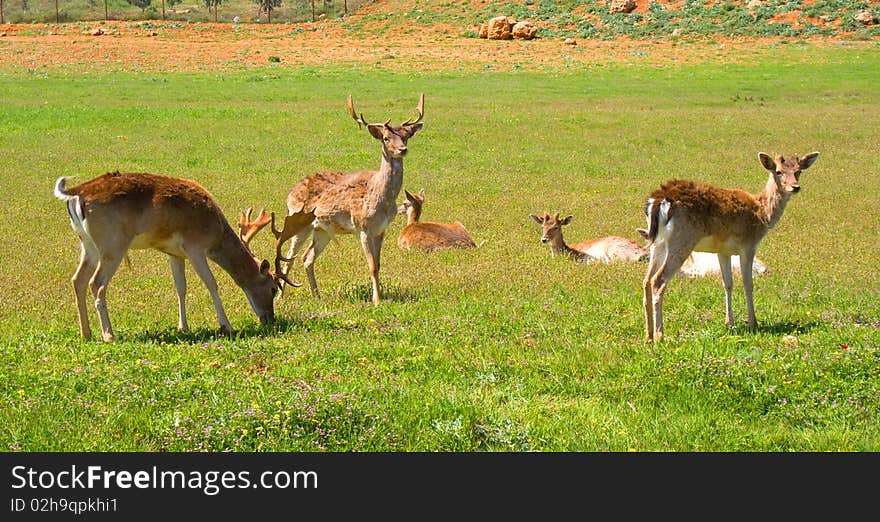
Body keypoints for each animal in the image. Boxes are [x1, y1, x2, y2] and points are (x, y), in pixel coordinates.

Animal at [53, 171, 290, 342]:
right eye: (273, 288)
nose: (270, 319)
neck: (215, 234)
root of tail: (76, 193)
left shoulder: (175, 254)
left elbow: (180, 287)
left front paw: (183, 327)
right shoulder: (195, 247)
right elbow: (212, 283)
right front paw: (227, 326)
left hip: (88, 244)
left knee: (77, 279)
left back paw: (86, 333)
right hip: (113, 243)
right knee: (96, 283)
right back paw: (108, 335)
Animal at [276, 92, 426, 304]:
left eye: (406, 136)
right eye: (386, 138)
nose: (402, 150)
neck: (381, 199)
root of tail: (291, 190)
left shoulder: (381, 230)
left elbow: (378, 264)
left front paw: (379, 296)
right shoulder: (362, 227)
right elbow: (372, 266)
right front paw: (376, 301)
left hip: (321, 230)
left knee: (307, 257)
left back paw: (317, 295)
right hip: (298, 221)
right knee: (290, 257)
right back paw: (280, 298)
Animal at [640, 149, 820, 342]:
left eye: (798, 171)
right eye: (778, 171)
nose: (795, 187)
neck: (763, 214)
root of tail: (659, 199)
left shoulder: (723, 250)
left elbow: (727, 283)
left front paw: (730, 323)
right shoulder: (748, 245)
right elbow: (748, 284)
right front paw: (753, 323)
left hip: (658, 243)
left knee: (646, 280)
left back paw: (648, 336)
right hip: (682, 240)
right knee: (658, 280)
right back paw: (660, 335)